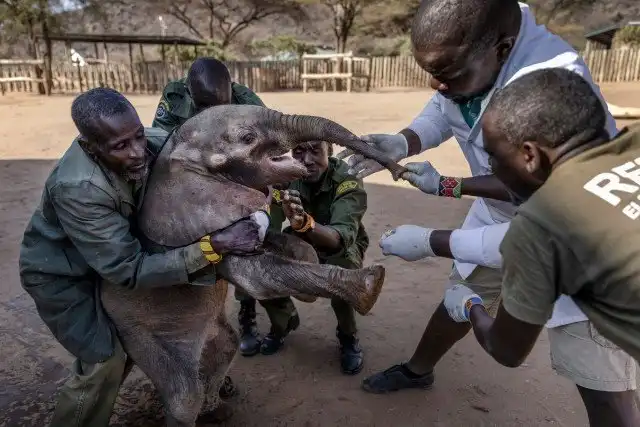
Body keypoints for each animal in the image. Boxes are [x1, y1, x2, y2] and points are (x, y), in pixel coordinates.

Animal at [100, 104, 407, 427]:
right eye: (248, 138)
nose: (400, 172)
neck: (176, 156)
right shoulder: (200, 224)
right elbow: (254, 276)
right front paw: (370, 286)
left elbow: (285, 242)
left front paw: (307, 288)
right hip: (138, 333)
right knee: (184, 396)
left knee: (227, 347)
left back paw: (219, 410)